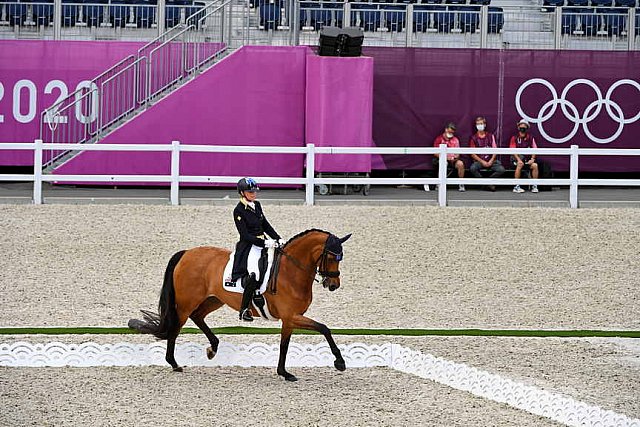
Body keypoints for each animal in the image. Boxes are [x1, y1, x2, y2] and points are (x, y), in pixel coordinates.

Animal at [128, 229, 352, 382]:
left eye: (341, 257)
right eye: (331, 256)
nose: (333, 285)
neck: (291, 272)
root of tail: (186, 253)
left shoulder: (289, 319)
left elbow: (284, 345)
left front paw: (284, 373)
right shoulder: (291, 316)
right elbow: (324, 328)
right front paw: (340, 363)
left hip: (214, 299)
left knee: (198, 317)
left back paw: (212, 348)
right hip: (186, 303)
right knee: (176, 327)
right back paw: (174, 363)